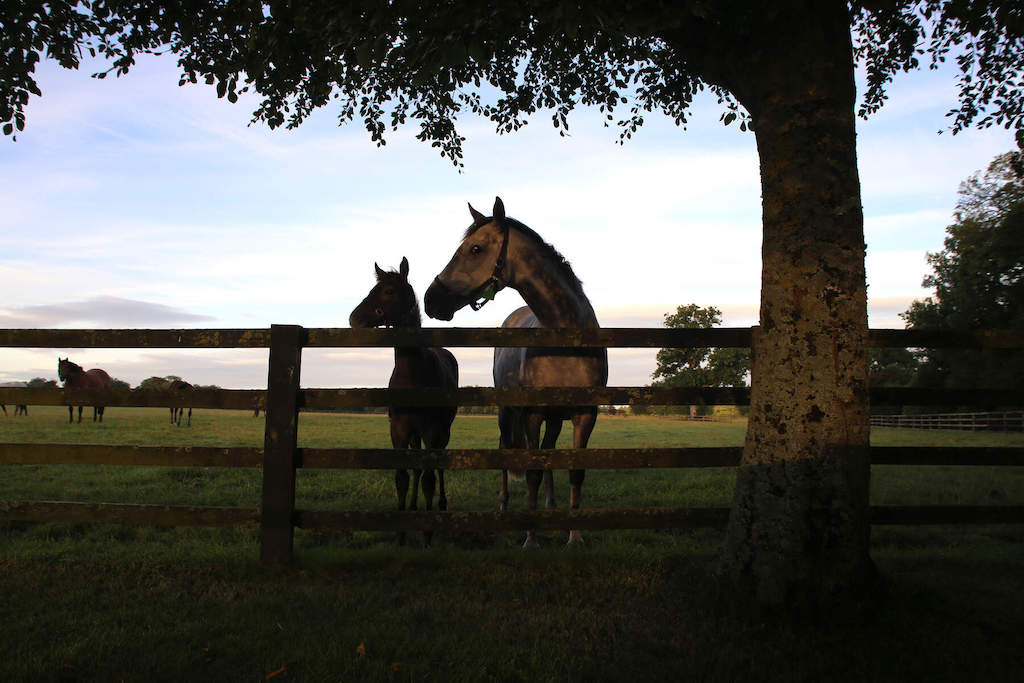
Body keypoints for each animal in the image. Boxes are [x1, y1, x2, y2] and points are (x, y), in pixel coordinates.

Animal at [350, 256, 459, 545]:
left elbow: (429, 478)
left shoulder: (431, 431)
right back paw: (412, 508)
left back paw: (441, 505)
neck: (413, 373)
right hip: (414, 434)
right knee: (416, 469)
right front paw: (400, 532)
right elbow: (402, 476)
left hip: (442, 432)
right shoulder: (399, 430)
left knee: (437, 467)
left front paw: (427, 534)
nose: (355, 319)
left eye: (389, 291)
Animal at [424, 197, 608, 548]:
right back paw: (504, 506)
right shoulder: (531, 414)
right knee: (505, 450)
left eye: (476, 249)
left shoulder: (585, 414)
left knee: (549, 452)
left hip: (553, 418)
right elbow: (532, 471)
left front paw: (574, 535)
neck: (566, 338)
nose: (431, 300)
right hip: (507, 411)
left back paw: (551, 506)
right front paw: (531, 538)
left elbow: (575, 471)